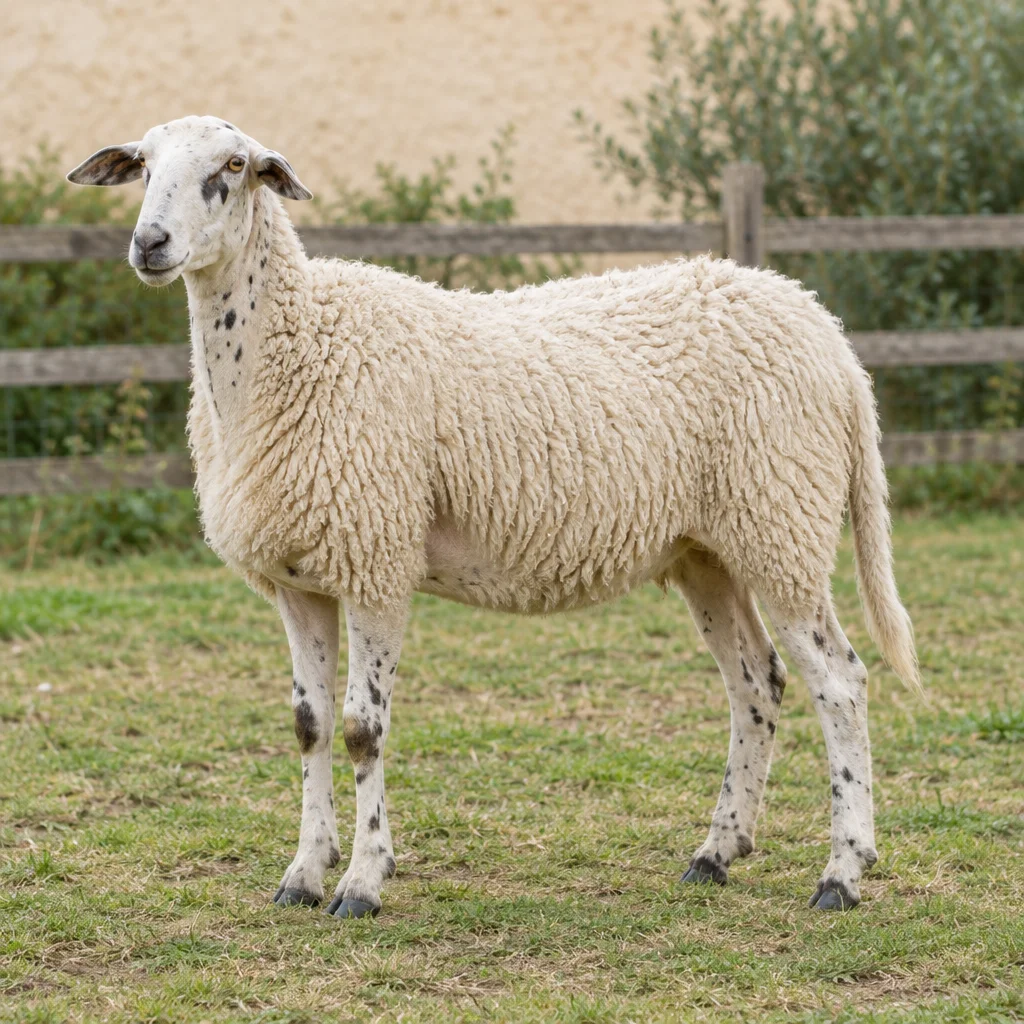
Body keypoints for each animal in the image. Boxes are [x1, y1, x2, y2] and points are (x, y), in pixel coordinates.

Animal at [68, 115, 920, 920]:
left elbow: (363, 729)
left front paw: (363, 882)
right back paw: (718, 851)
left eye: (234, 166)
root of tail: (831, 339)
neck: (295, 345)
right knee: (756, 682)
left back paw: (843, 871)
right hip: (707, 549)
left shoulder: (378, 561)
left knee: (839, 683)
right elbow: (310, 726)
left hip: (782, 522)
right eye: (142, 164)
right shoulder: (300, 578)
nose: (150, 243)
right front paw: (303, 875)